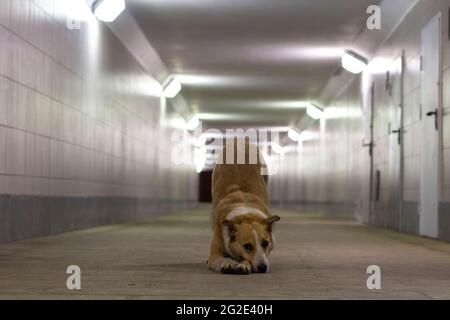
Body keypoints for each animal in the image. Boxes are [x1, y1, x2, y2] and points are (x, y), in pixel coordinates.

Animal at [208, 139, 280, 274]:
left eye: (265, 243)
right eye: (248, 246)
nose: (263, 268)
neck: (246, 212)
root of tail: (240, 140)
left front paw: (244, 265)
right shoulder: (214, 254)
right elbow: (220, 258)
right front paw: (227, 263)